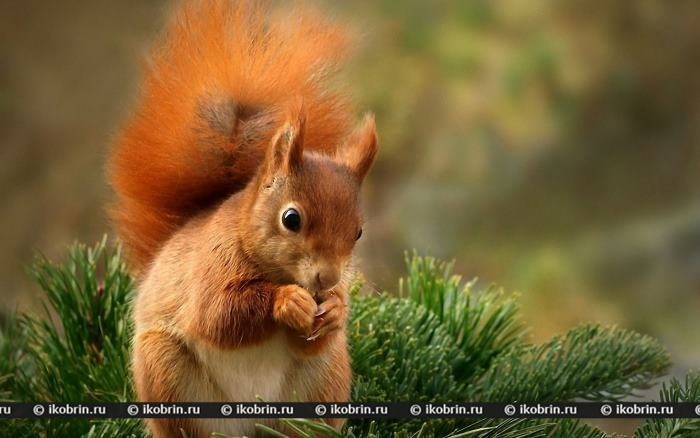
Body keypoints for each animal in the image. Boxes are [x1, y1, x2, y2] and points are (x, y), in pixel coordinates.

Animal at [107, 1, 378, 436]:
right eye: (291, 219)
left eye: (358, 232)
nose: (328, 279)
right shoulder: (211, 267)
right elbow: (218, 315)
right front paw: (287, 301)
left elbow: (315, 336)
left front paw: (336, 309)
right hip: (167, 373)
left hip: (323, 381)